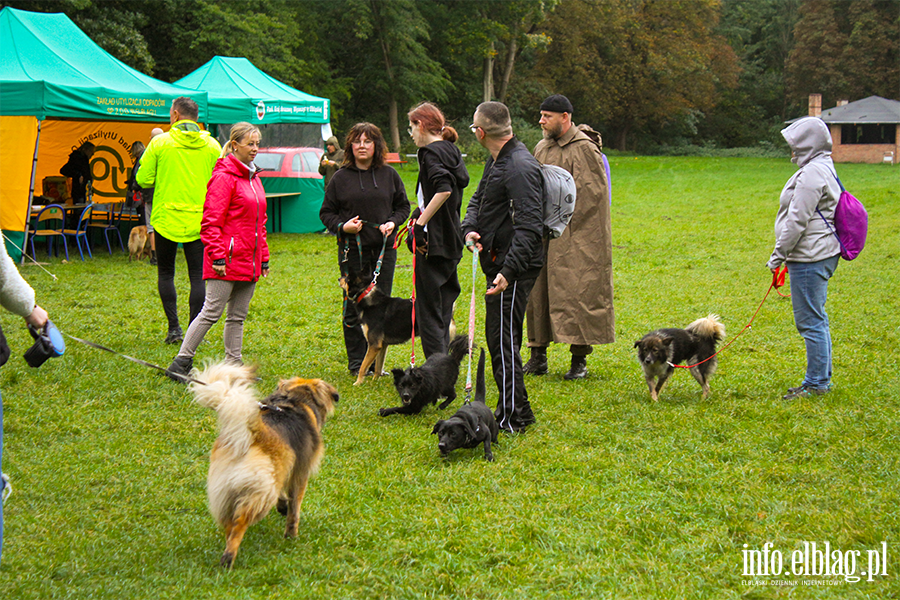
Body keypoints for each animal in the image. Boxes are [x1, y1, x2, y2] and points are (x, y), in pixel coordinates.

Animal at [190, 360, 342, 568]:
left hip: (227, 490)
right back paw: (229, 557)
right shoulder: (300, 473)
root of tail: (249, 435)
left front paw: (283, 507)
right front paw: (291, 535)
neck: (296, 401)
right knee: (240, 522)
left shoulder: (282, 469)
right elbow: (295, 509)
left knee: (229, 523)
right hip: (261, 492)